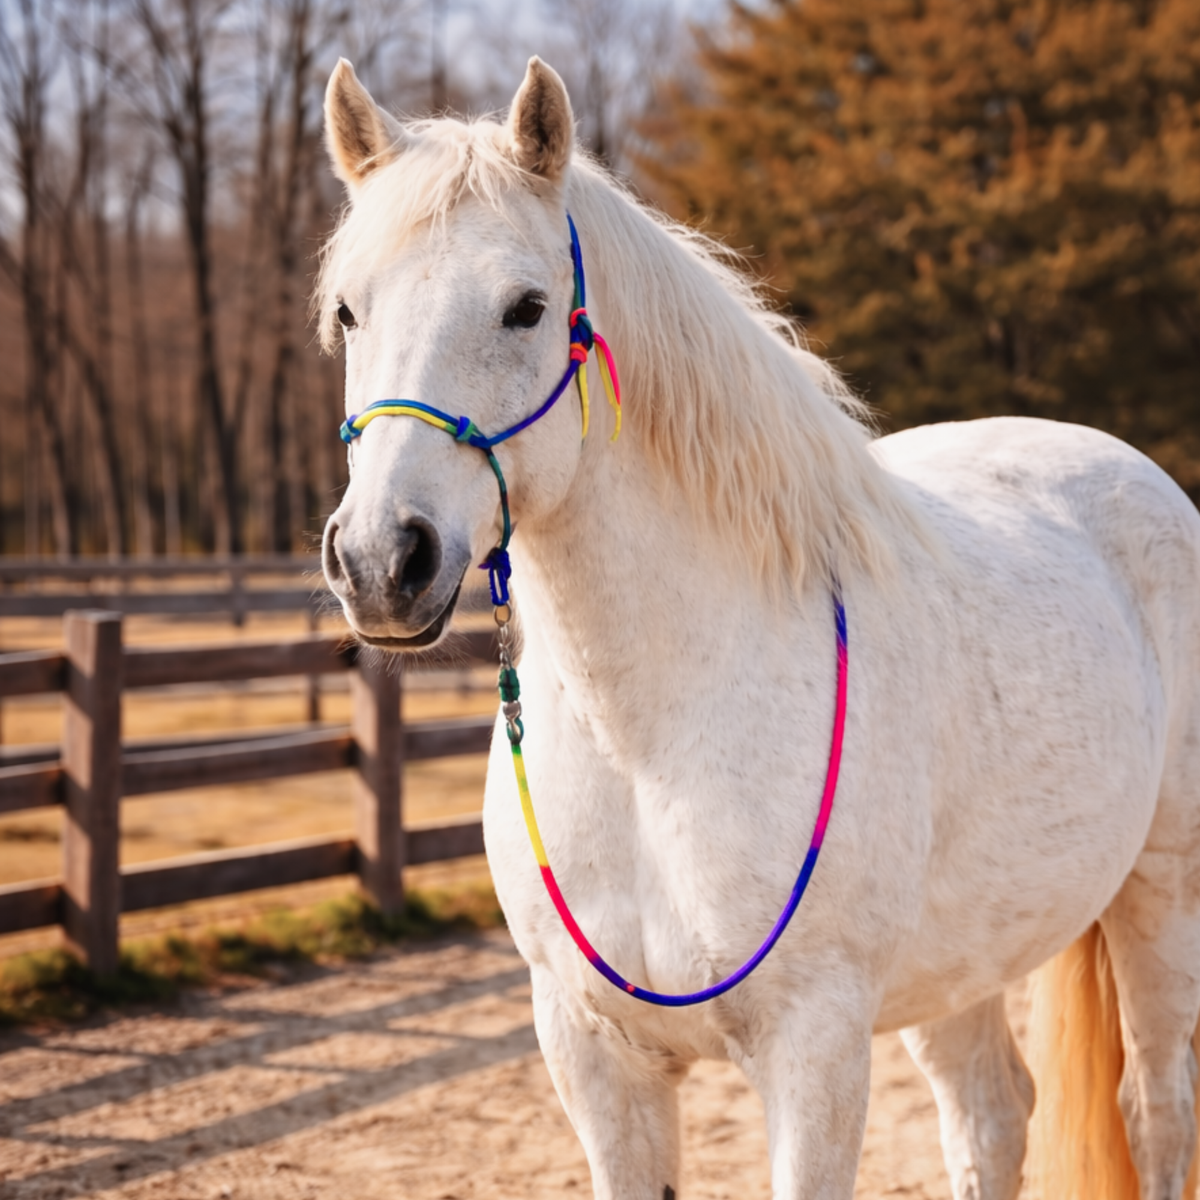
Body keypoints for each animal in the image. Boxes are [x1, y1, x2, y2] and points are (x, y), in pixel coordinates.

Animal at [315, 54, 1200, 1200]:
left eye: (526, 307)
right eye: (348, 312)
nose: (383, 562)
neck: (649, 739)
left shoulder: (814, 1049)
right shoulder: (596, 1060)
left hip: (1160, 892)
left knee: (1157, 1109)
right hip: (960, 961)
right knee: (993, 1115)